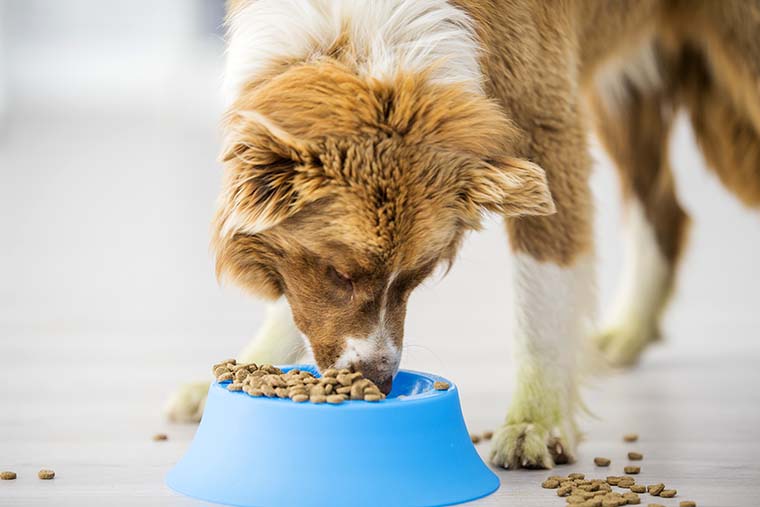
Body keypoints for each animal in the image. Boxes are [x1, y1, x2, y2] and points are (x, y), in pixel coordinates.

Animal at [168, 0, 760, 472]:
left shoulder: (547, 126)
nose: (380, 384)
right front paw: (251, 364)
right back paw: (630, 329)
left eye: (417, 276)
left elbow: (544, 288)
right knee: (664, 211)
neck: (366, 32)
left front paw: (537, 420)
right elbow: (297, 304)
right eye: (339, 272)